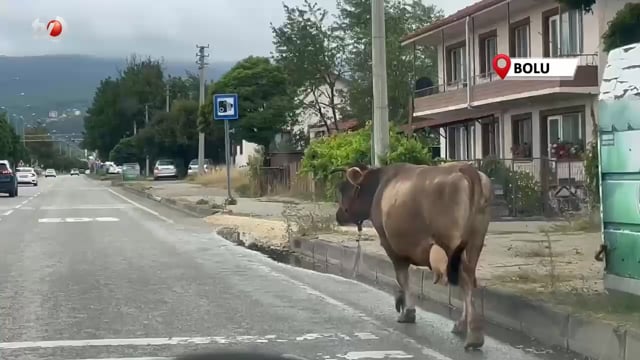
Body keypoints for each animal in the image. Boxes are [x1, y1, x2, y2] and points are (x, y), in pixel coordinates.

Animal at [332, 162, 492, 350]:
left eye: (344, 188)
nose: (338, 215)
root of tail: (466, 168)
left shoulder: (391, 245)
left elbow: (402, 277)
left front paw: (407, 312)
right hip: (475, 242)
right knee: (469, 277)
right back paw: (461, 325)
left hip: (452, 242)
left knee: (465, 278)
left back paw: (474, 335)